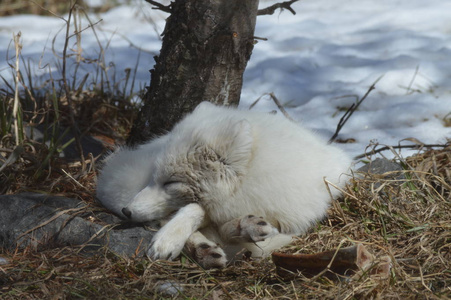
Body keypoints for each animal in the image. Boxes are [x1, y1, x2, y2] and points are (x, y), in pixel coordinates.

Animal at [96, 102, 354, 268]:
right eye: (155, 177)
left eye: (171, 182)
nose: (127, 211)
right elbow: (197, 210)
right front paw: (169, 239)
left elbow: (202, 210)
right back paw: (207, 247)